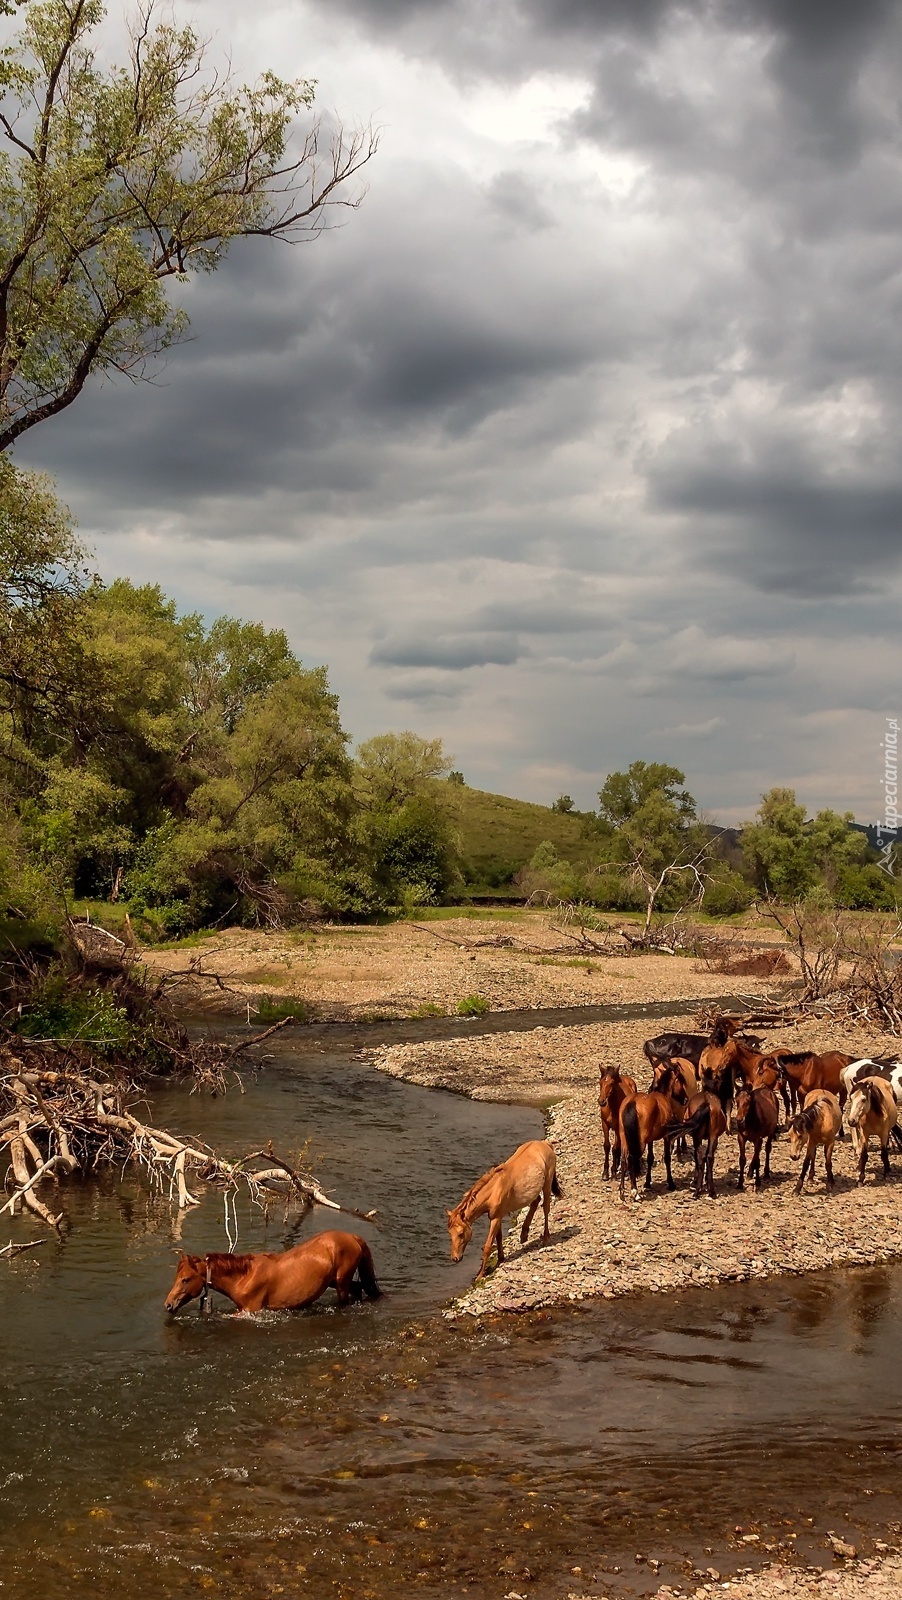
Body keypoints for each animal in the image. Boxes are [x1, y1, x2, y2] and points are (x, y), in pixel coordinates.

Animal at [162, 1228, 380, 1318]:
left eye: (185, 1279)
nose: (168, 1305)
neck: (244, 1278)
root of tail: (351, 1236)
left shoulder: (251, 1310)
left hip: (341, 1283)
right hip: (336, 1281)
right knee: (358, 1288)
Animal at [444, 1139, 556, 1273]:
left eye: (460, 1233)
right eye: (450, 1233)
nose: (455, 1258)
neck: (494, 1189)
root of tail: (545, 1143)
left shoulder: (495, 1218)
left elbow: (488, 1246)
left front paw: (481, 1274)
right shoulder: (497, 1216)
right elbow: (499, 1238)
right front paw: (500, 1259)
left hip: (547, 1183)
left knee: (546, 1208)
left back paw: (546, 1238)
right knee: (536, 1201)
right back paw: (523, 1235)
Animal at [617, 1062, 687, 1203]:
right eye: (680, 1080)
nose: (685, 1099)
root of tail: (632, 1102)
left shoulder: (650, 1140)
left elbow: (650, 1159)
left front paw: (648, 1182)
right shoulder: (666, 1137)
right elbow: (667, 1158)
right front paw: (671, 1183)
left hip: (625, 1139)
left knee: (623, 1160)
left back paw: (622, 1192)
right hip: (639, 1143)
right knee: (632, 1159)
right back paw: (635, 1192)